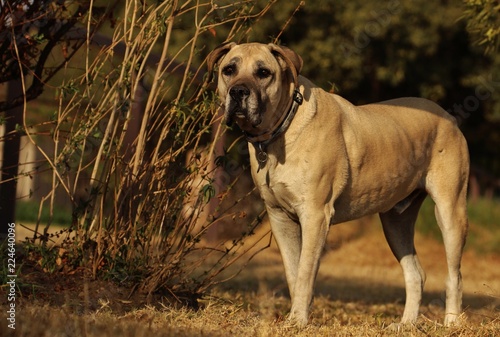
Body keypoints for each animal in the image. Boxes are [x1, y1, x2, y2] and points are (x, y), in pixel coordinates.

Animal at [206, 41, 468, 326]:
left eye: (263, 72)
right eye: (229, 70)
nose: (238, 91)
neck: (282, 129)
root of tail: (449, 117)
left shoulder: (315, 215)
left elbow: (305, 271)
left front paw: (298, 320)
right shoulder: (279, 218)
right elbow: (293, 272)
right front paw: (296, 317)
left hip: (450, 212)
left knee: (454, 276)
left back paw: (451, 321)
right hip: (395, 223)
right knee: (415, 273)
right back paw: (406, 324)